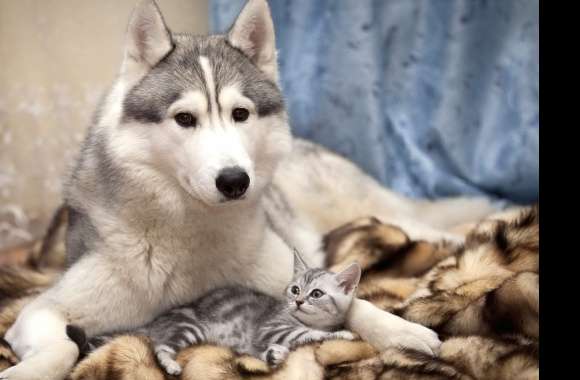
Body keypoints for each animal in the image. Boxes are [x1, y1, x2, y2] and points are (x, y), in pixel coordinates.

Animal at [68, 251, 358, 376]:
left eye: (316, 294)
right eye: (295, 289)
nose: (297, 301)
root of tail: (156, 321)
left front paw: (275, 355)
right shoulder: (272, 328)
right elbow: (307, 332)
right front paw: (344, 333)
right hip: (189, 326)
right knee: (160, 347)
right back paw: (171, 365)